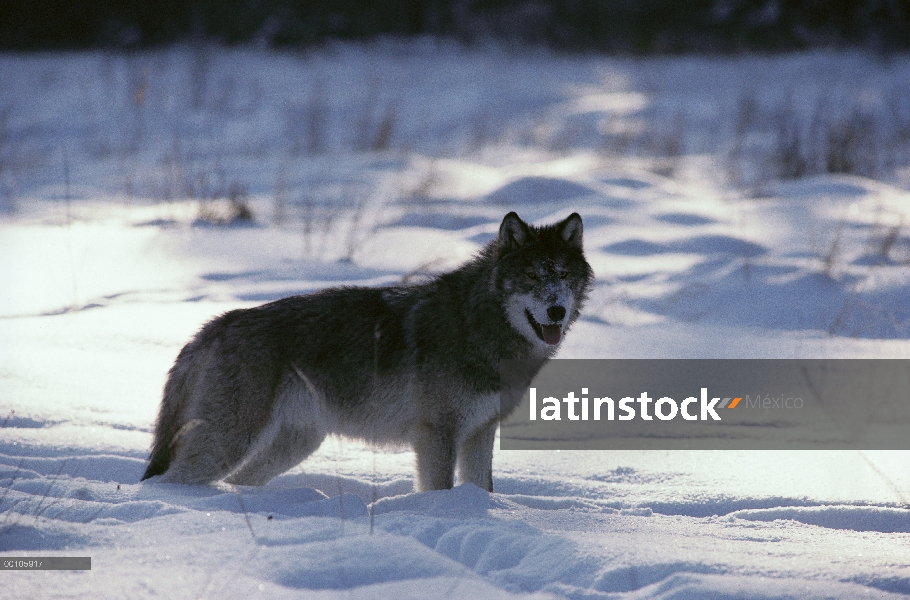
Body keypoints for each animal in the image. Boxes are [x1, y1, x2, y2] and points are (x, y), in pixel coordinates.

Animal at [139, 213, 596, 490]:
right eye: (532, 276)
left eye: (563, 276)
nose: (556, 309)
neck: (478, 325)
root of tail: (218, 323)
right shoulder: (437, 435)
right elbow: (440, 486)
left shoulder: (480, 432)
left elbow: (481, 488)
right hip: (231, 441)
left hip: (294, 445)